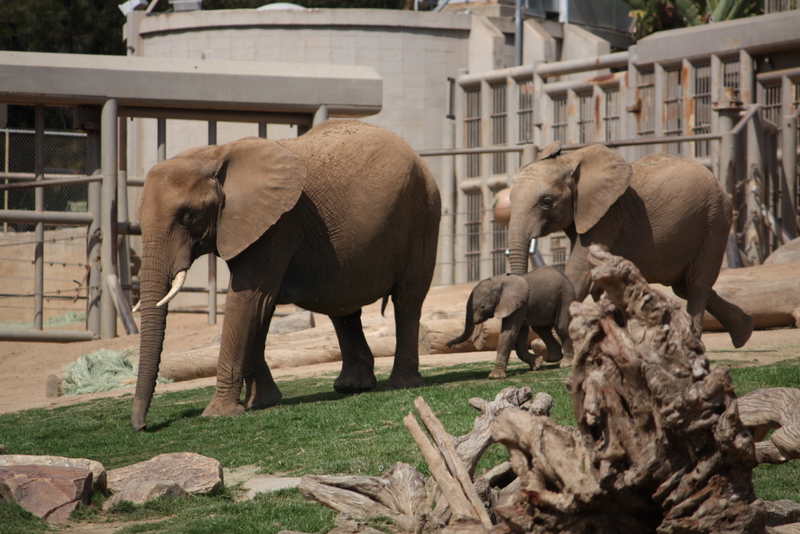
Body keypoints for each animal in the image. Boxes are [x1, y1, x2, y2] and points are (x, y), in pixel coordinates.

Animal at [133, 119, 444, 434]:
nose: (142, 427)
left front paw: (218, 414)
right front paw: (264, 402)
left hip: (422, 211)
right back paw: (352, 387)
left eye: (188, 216)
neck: (214, 154)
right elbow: (257, 306)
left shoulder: (277, 225)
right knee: (343, 307)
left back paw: (400, 385)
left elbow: (248, 299)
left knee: (407, 299)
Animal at [510, 143, 752, 352]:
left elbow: (580, 273)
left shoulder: (607, 216)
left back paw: (695, 342)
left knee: (697, 283)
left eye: (546, 202)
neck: (570, 160)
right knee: (682, 285)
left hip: (715, 219)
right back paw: (744, 332)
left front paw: (546, 347)